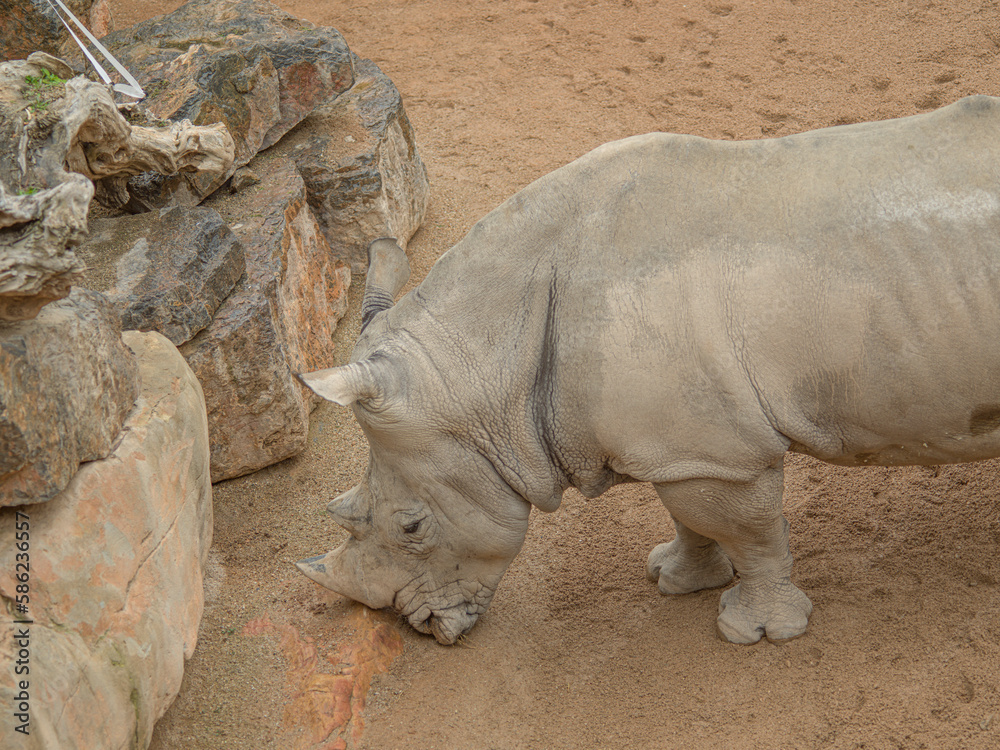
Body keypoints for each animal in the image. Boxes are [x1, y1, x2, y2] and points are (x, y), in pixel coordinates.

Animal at [297, 95, 1000, 645]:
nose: (418, 628)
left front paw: (759, 632)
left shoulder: (720, 454)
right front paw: (674, 579)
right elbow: (690, 518)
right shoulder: (682, 449)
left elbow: (751, 534)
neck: (488, 360)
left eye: (411, 527)